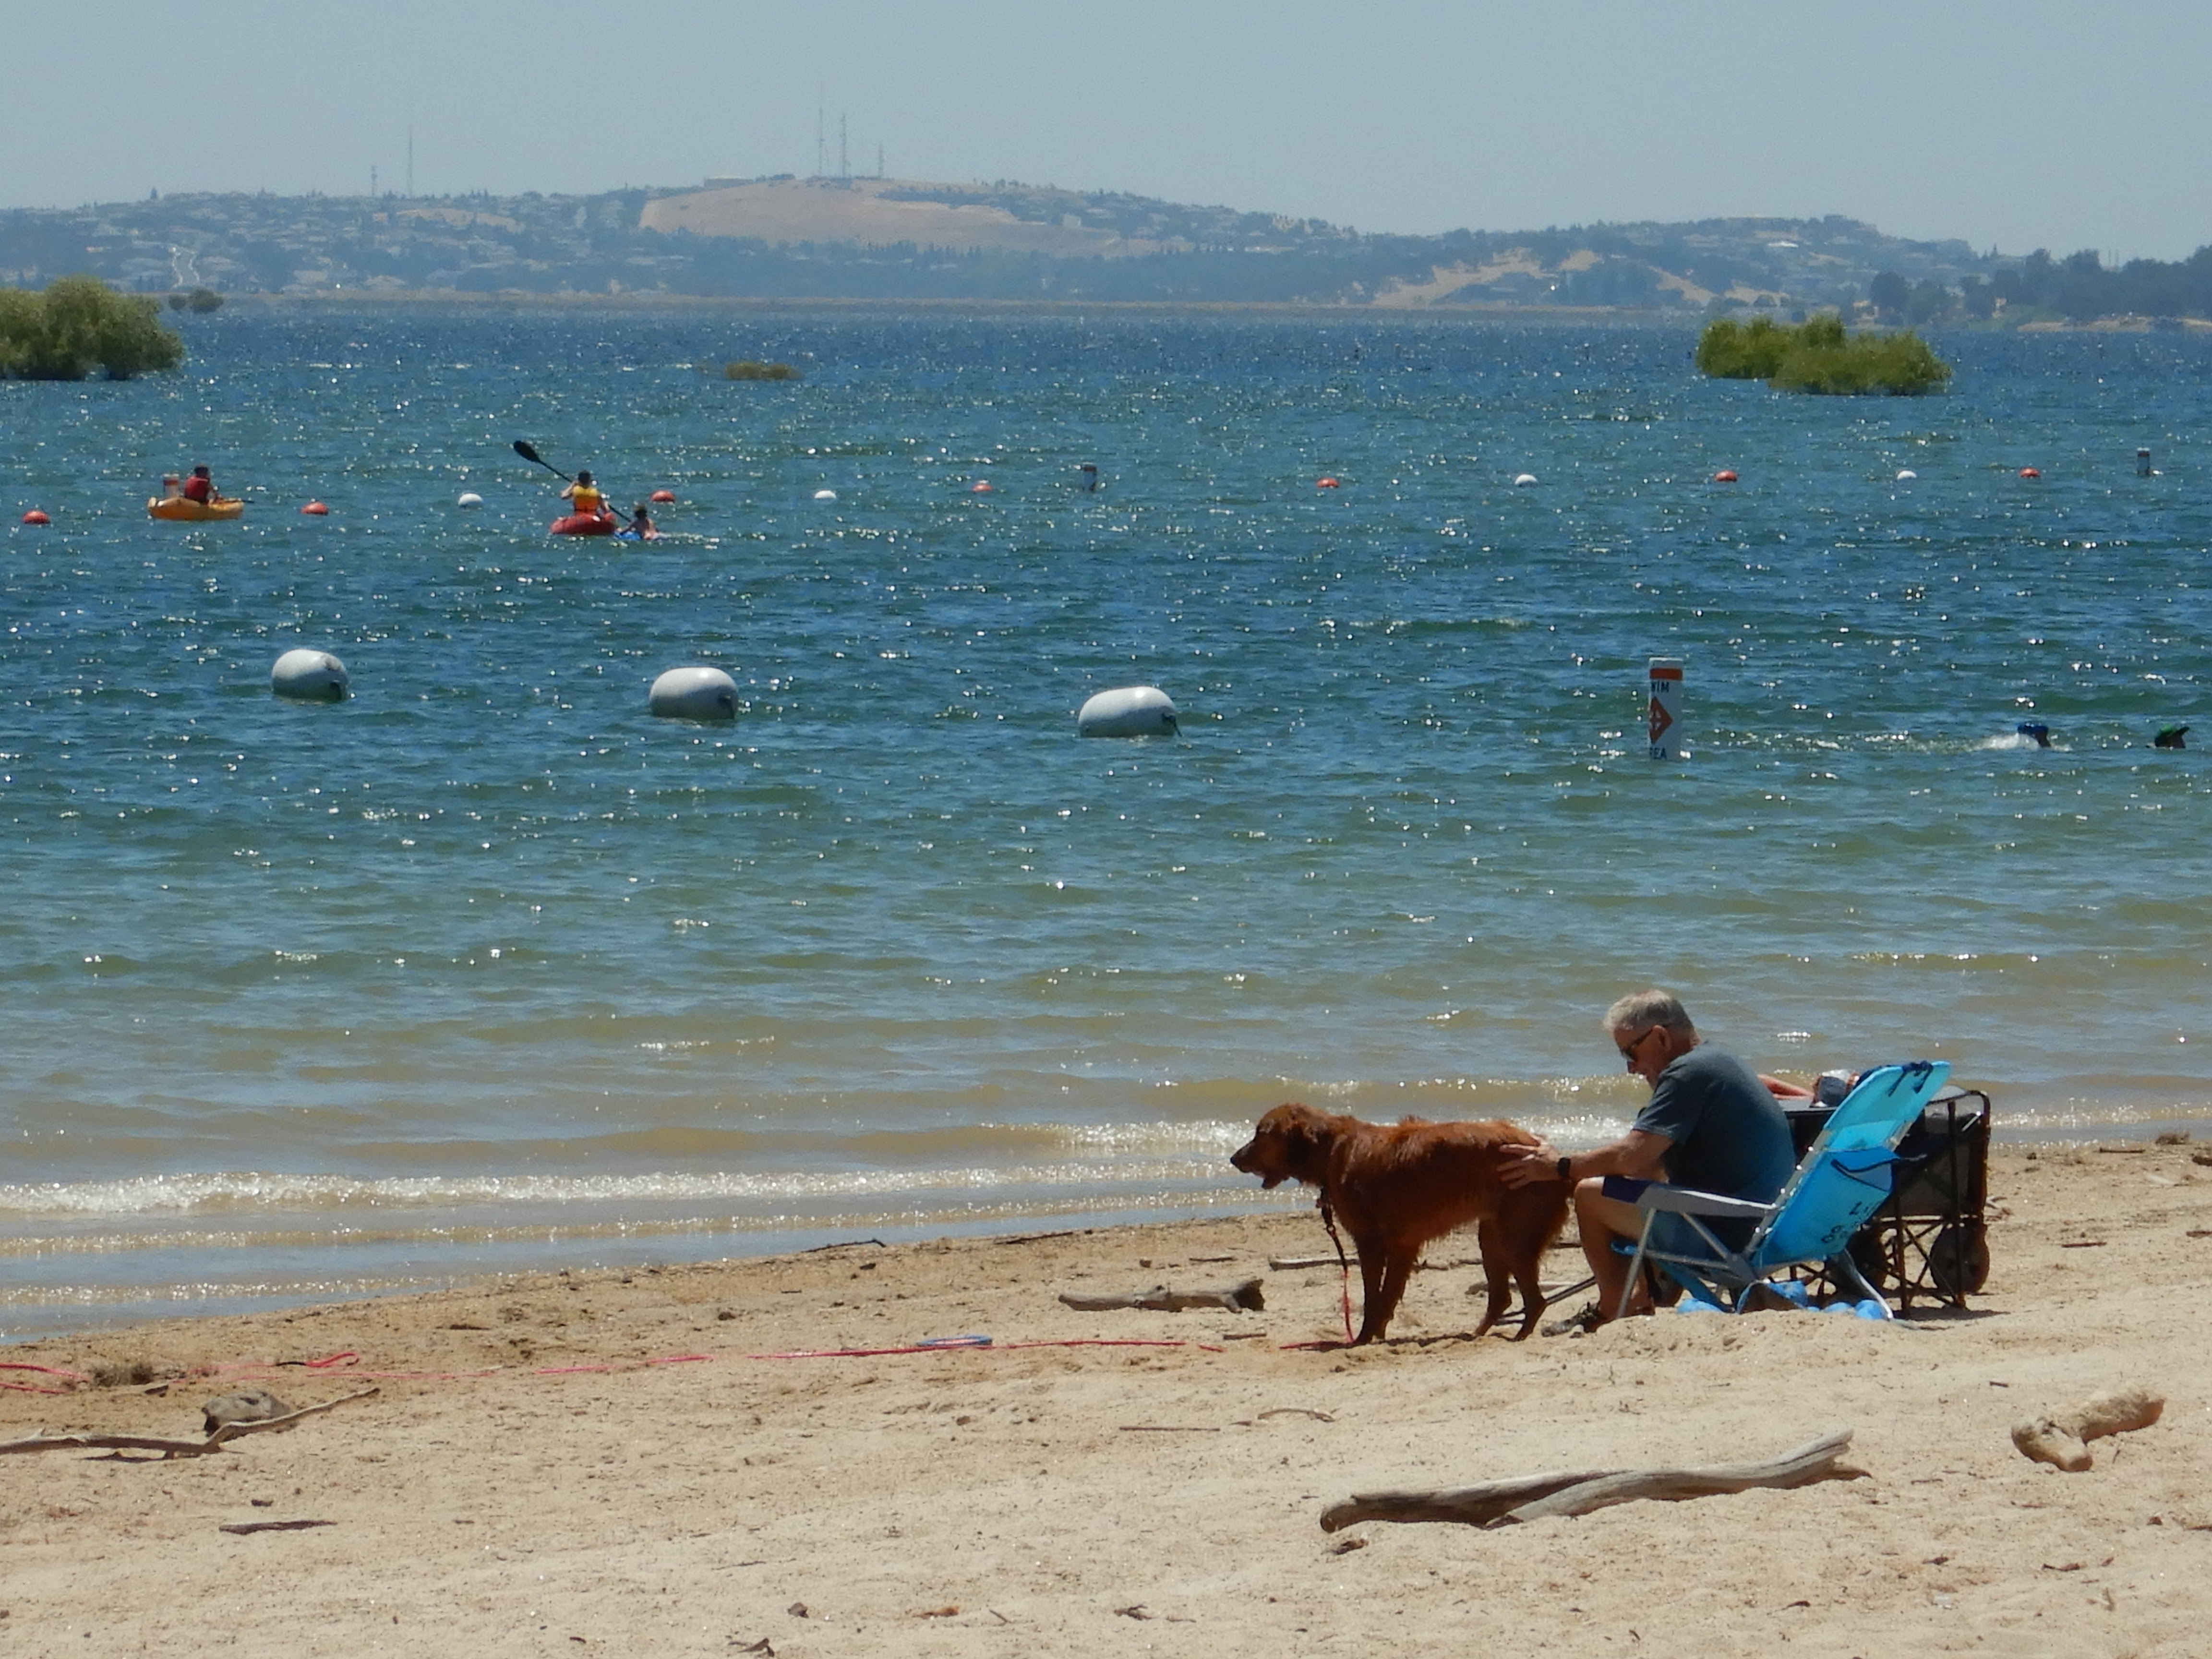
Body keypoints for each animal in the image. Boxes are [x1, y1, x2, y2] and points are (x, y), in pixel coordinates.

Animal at [1231, 1102, 1568, 1344]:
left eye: (1260, 1134)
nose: (1234, 1159)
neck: (1331, 1149)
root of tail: (1548, 1153)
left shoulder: (1371, 1243)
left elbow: (1375, 1298)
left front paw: (1364, 1339)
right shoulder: (1403, 1245)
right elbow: (1388, 1296)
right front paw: (1378, 1335)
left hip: (1514, 1235)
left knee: (1534, 1300)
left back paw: (1519, 1336)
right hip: (1492, 1235)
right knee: (1502, 1297)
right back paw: (1476, 1335)